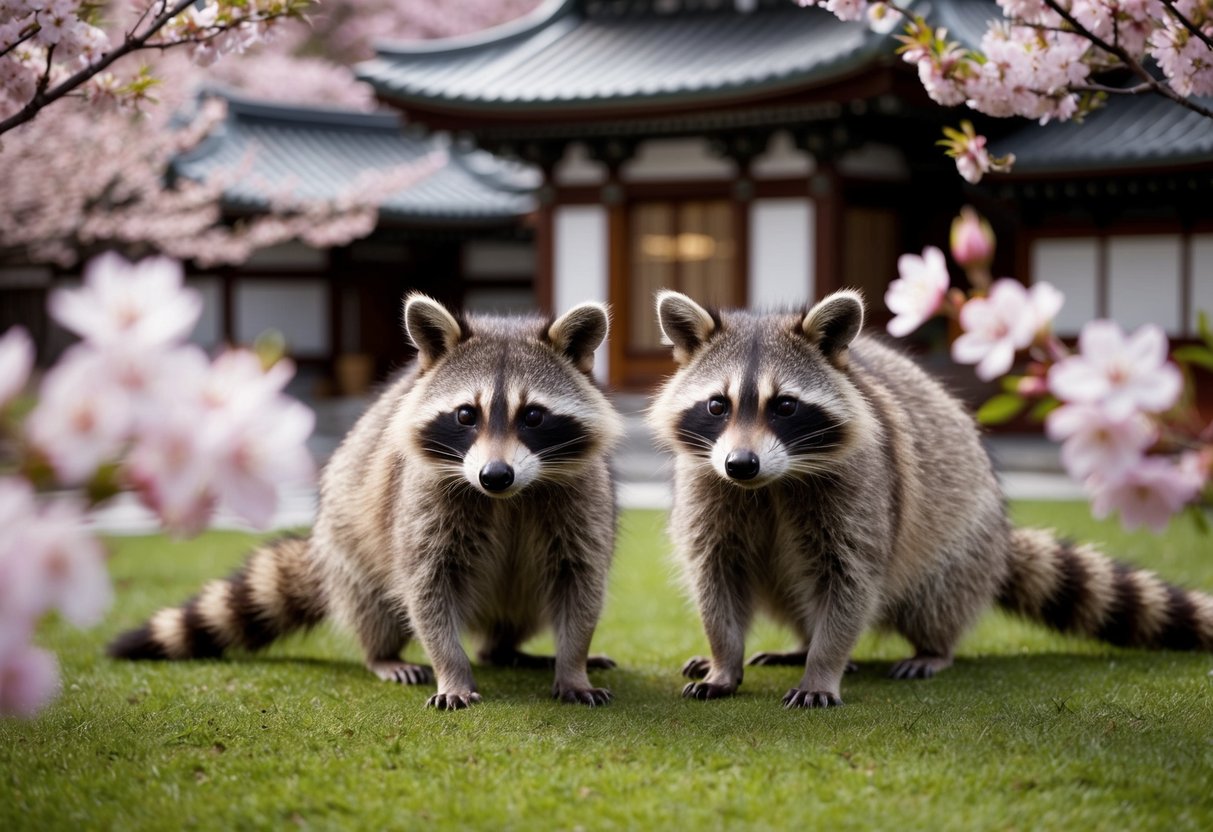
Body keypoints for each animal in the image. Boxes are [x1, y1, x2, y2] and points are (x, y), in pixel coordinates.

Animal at [109, 295, 624, 710]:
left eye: (533, 416)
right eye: (465, 415)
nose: (495, 475)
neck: (508, 498)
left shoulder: (582, 502)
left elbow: (580, 583)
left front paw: (572, 664)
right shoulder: (422, 500)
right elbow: (426, 589)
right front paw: (451, 670)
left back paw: (513, 650)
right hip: (350, 546)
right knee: (374, 603)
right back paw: (385, 654)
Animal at [650, 289, 1213, 709]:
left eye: (785, 405)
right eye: (717, 405)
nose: (741, 464)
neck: (770, 483)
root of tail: (999, 538)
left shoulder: (864, 492)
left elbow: (851, 579)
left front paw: (824, 666)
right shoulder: (708, 485)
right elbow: (716, 574)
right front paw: (725, 659)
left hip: (962, 544)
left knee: (934, 598)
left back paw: (928, 648)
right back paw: (800, 643)